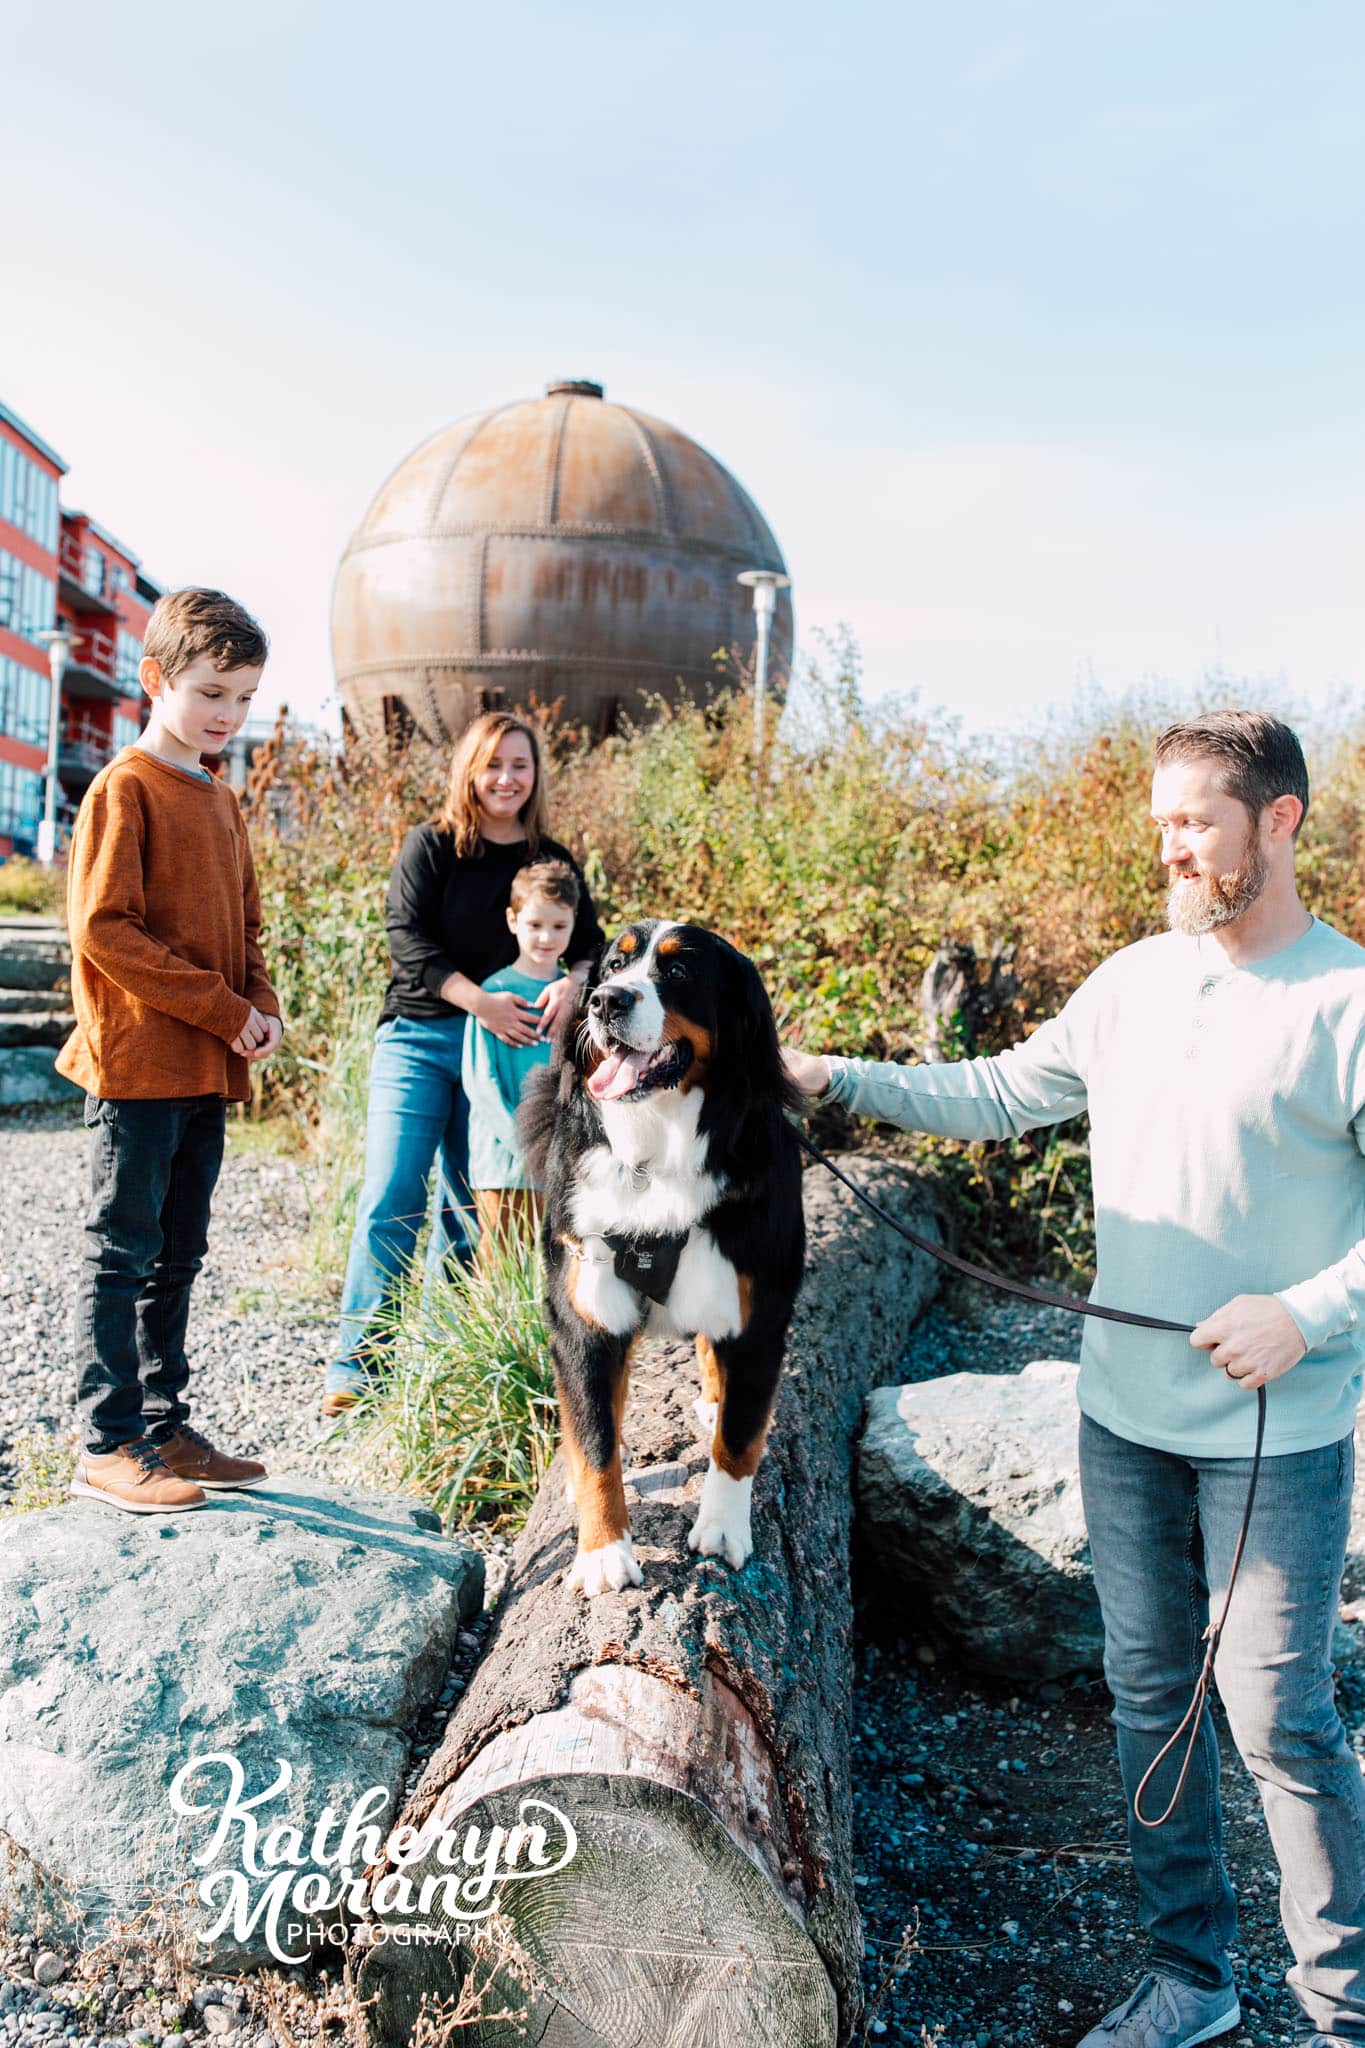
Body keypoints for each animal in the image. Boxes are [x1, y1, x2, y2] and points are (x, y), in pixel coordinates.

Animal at [517, 925, 806, 1597]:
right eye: (613, 966)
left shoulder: (758, 1317)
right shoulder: (583, 1314)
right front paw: (603, 1552)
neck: (657, 1156)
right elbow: (596, 1441)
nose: (606, 1002)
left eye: (677, 974)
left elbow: (739, 1440)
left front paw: (723, 1530)